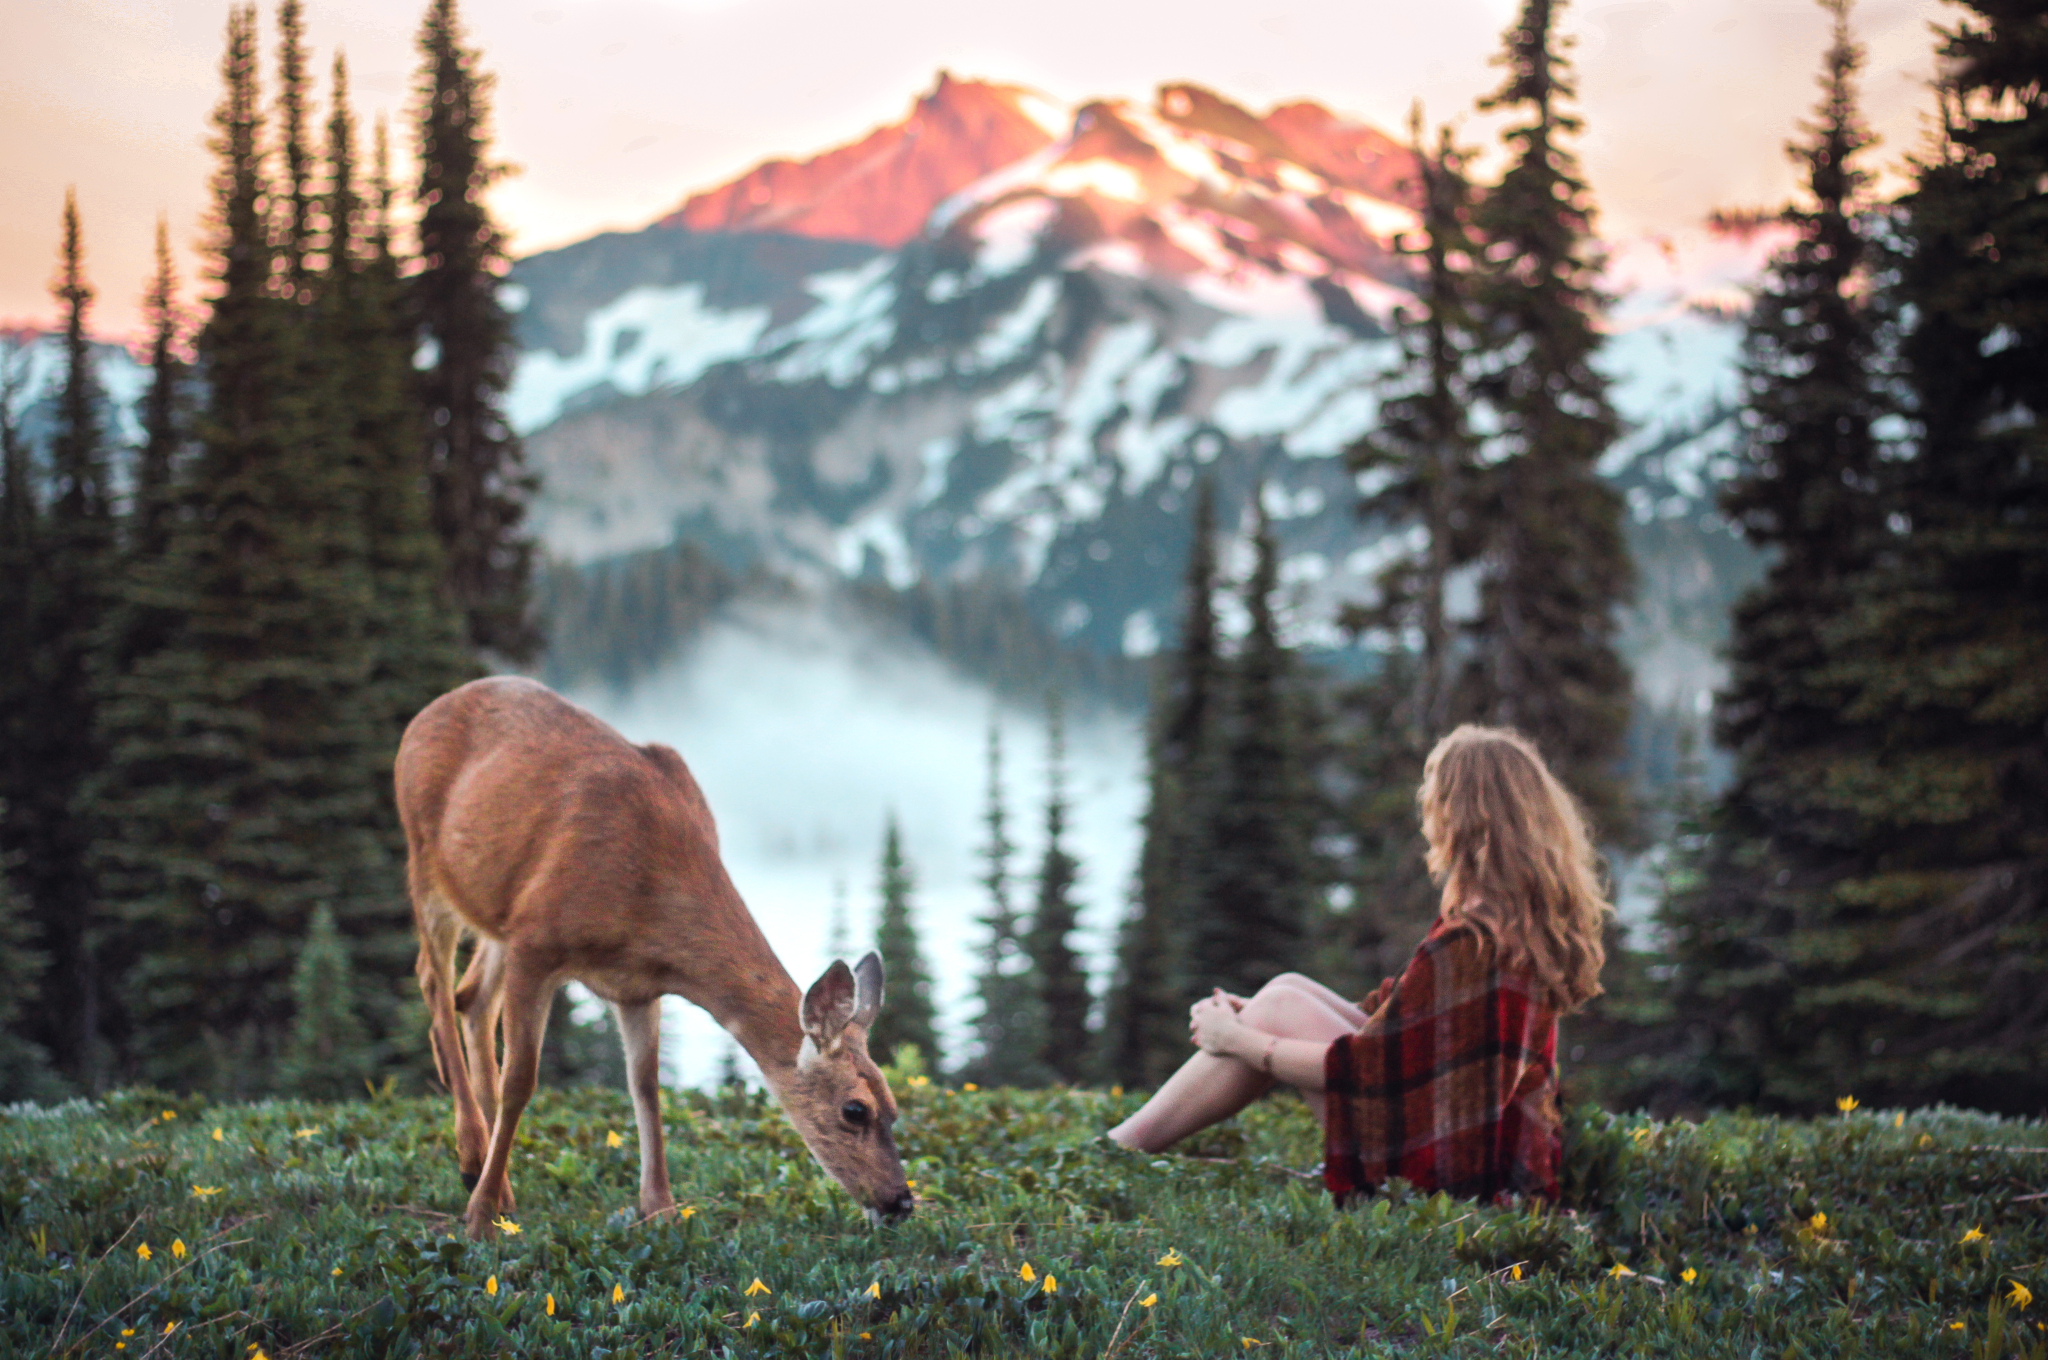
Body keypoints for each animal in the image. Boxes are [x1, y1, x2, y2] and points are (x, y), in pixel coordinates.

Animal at [399, 675, 913, 1237]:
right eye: (855, 1110)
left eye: (894, 1107)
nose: (901, 1202)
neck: (647, 902)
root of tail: (429, 710)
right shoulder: (536, 941)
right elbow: (522, 1080)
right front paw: (480, 1217)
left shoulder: (635, 986)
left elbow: (645, 1086)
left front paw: (661, 1207)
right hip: (425, 859)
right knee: (433, 982)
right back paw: (474, 1159)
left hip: (494, 911)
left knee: (472, 999)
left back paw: (498, 1173)